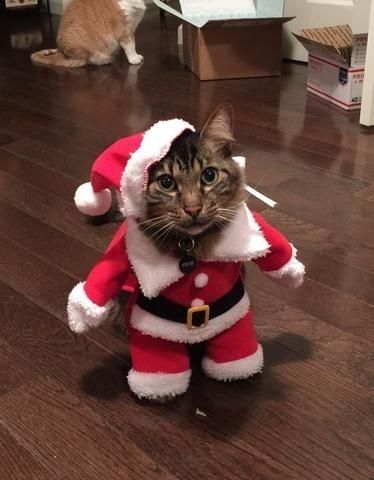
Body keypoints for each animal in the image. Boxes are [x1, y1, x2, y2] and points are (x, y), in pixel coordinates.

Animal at [68, 105, 304, 402]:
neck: (193, 246)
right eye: (167, 182)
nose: (193, 208)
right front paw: (160, 391)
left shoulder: (235, 315)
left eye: (209, 176)